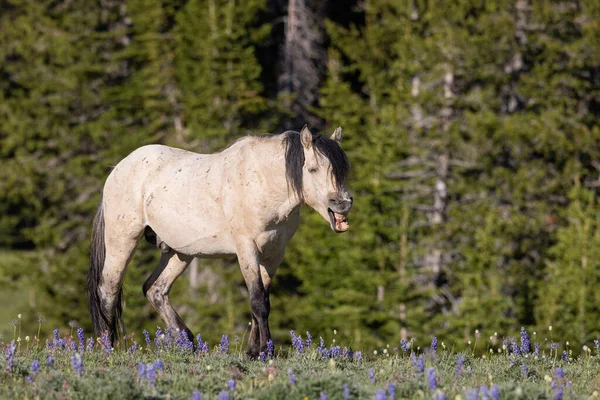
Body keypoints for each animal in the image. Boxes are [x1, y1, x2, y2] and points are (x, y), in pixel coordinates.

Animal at [86, 125, 354, 356]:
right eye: (313, 169)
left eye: (342, 170)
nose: (342, 204)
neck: (263, 183)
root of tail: (117, 169)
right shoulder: (246, 249)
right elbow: (258, 301)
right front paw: (265, 351)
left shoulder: (274, 254)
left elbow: (262, 301)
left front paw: (253, 351)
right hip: (122, 241)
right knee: (108, 289)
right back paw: (107, 347)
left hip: (180, 252)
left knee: (155, 290)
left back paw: (188, 342)